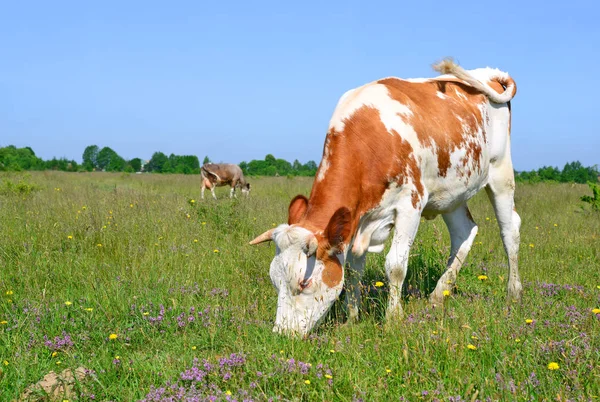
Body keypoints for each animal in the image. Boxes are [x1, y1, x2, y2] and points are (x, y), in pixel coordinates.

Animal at [248, 59, 520, 336]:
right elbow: (353, 270)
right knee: (464, 231)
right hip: (452, 191)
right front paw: (352, 318)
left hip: (500, 173)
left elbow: (396, 265)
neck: (369, 139)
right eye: (275, 281)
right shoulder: (355, 220)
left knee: (509, 230)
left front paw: (393, 318)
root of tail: (488, 74)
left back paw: (513, 293)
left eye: (304, 283)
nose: (282, 334)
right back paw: (438, 295)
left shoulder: (411, 204)